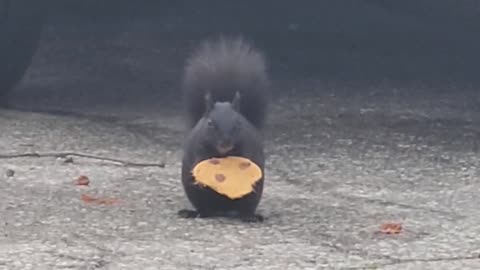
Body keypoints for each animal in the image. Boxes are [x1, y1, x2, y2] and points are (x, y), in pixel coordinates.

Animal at [179, 37, 272, 223]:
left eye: (238, 123)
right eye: (209, 123)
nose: (225, 143)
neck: (222, 154)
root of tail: (223, 209)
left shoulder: (248, 143)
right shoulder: (197, 145)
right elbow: (198, 158)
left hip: (253, 194)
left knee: (246, 208)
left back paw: (250, 216)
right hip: (196, 194)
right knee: (204, 209)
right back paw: (194, 213)